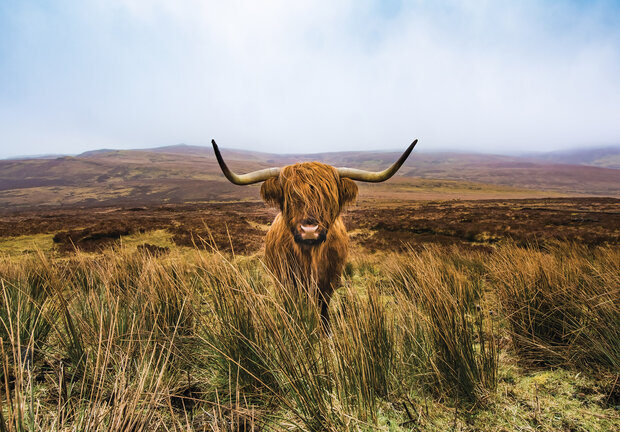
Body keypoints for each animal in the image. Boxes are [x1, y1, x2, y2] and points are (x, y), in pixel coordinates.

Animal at [211, 140, 418, 326]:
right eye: (290, 197)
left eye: (328, 197)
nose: (309, 230)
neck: (309, 257)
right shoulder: (285, 281)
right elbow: (292, 307)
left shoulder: (329, 282)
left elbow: (323, 308)